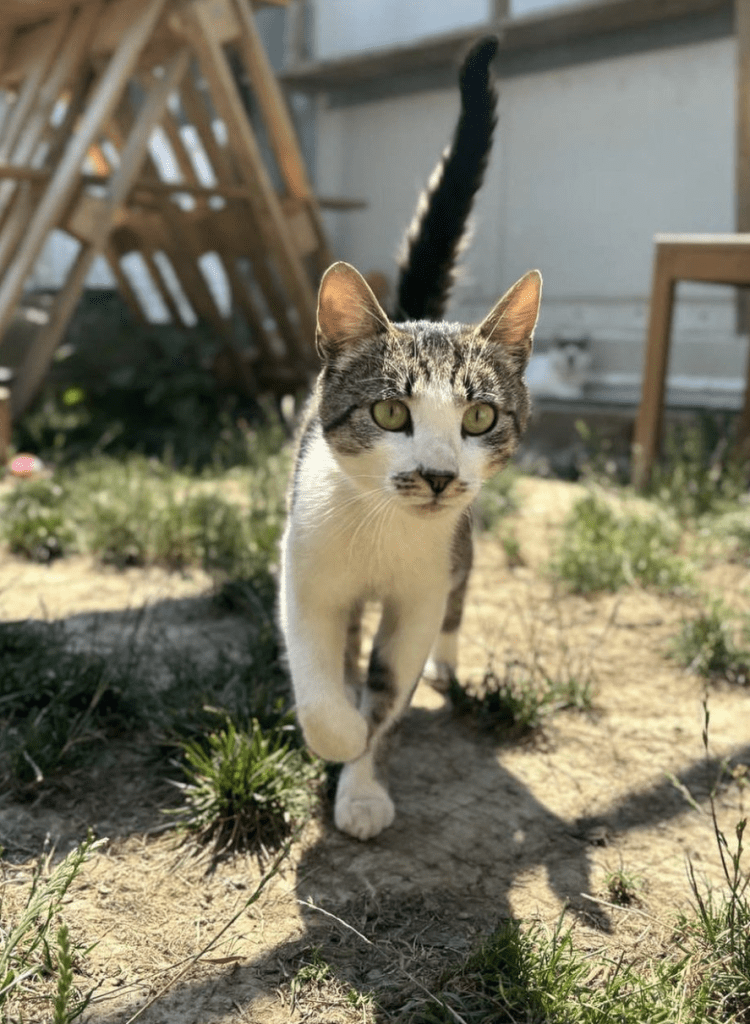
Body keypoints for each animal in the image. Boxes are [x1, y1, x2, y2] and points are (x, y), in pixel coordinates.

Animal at [278, 37, 540, 839]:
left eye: (479, 418)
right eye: (391, 413)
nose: (436, 475)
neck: (383, 531)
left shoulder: (421, 591)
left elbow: (391, 690)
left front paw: (362, 783)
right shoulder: (304, 571)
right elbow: (318, 675)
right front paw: (336, 732)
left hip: (464, 546)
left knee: (456, 605)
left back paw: (451, 666)